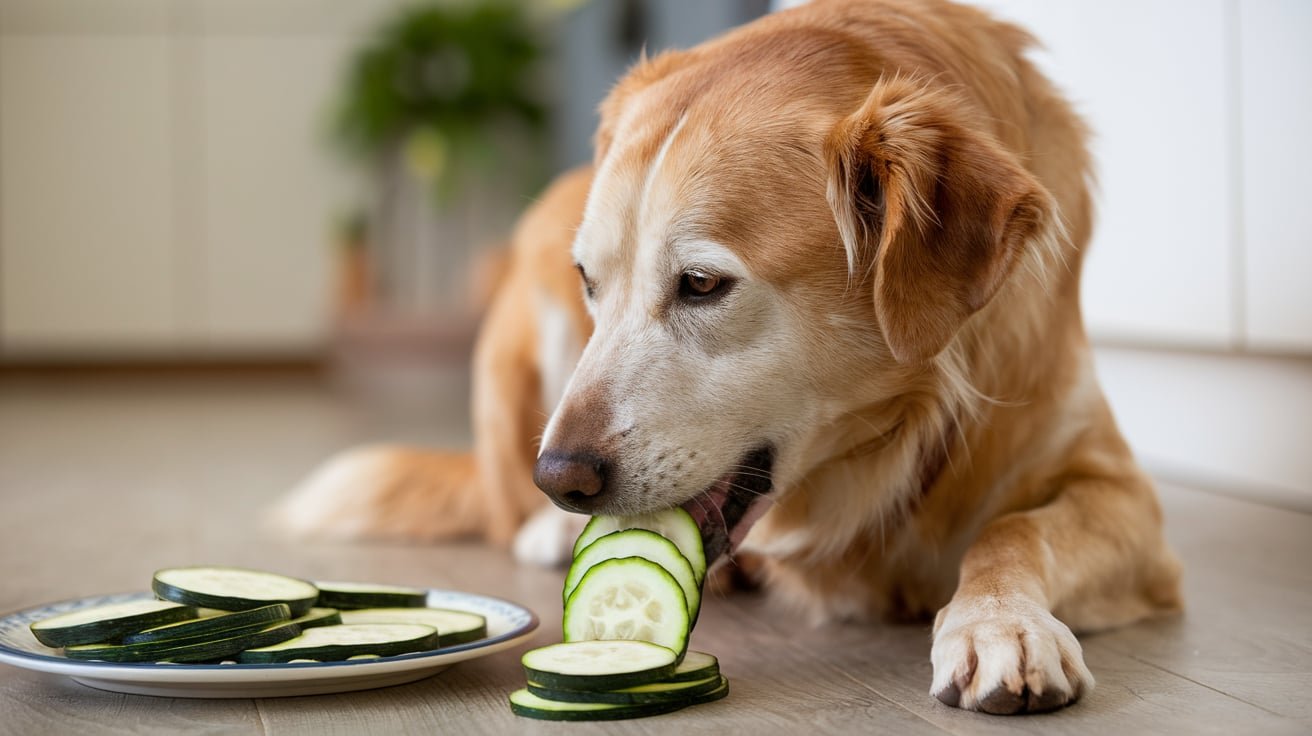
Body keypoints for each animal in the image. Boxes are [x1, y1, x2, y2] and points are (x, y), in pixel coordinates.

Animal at [274, 0, 1180, 713]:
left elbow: (1013, 530)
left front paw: (1001, 623)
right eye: (589, 280)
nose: (560, 479)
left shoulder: (1119, 492)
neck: (898, 437)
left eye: (702, 284)